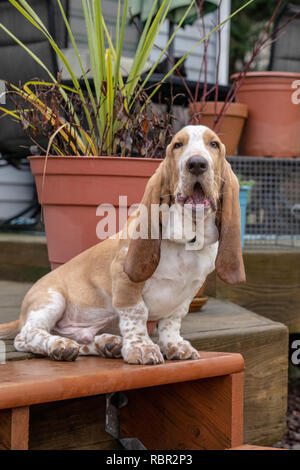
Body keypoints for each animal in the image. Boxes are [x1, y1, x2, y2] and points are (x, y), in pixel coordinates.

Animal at [0, 124, 244, 364]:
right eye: (177, 145)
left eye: (214, 144)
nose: (196, 164)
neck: (187, 240)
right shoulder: (125, 281)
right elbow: (136, 314)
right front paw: (142, 348)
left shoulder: (187, 294)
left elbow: (172, 321)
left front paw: (174, 345)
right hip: (52, 300)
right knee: (26, 336)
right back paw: (60, 345)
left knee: (81, 338)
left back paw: (108, 344)